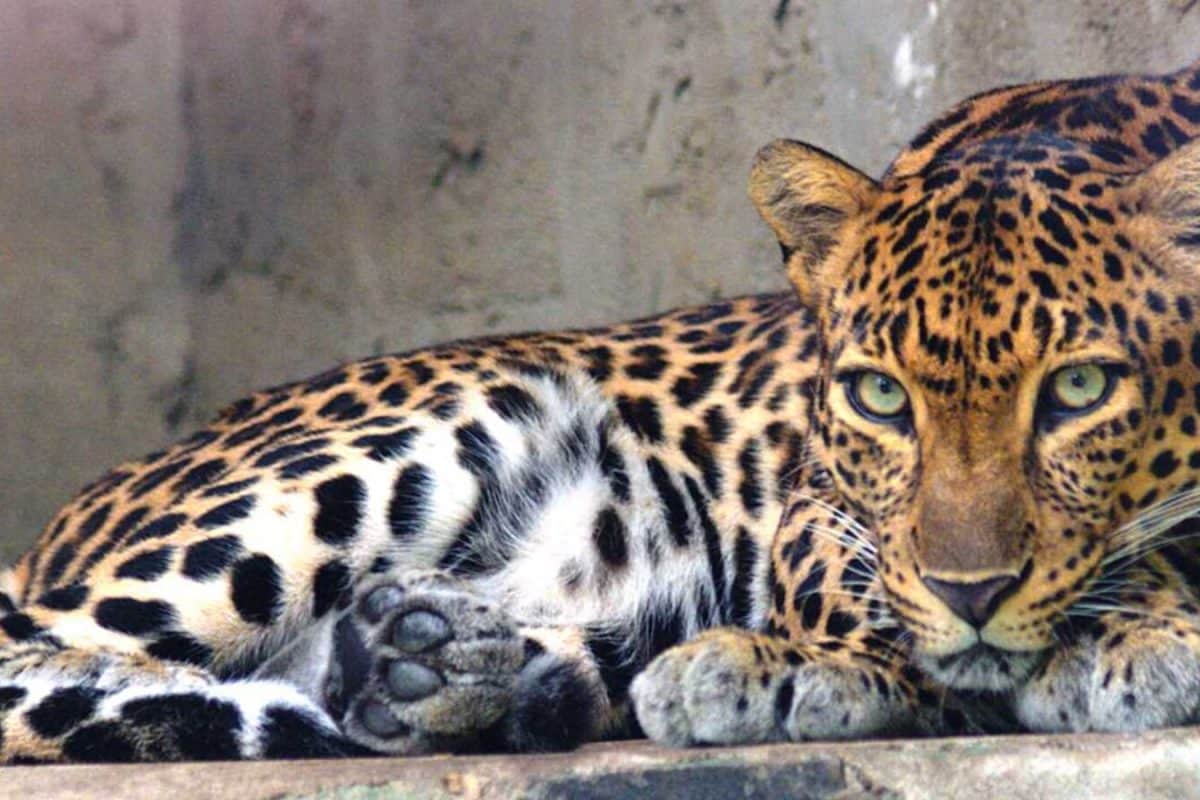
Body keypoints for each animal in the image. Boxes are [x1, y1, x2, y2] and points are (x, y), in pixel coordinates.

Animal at [2, 57, 1200, 763]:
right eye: (879, 397)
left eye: (1079, 387)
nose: (975, 593)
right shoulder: (818, 502)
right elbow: (867, 590)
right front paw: (798, 665)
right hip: (409, 443)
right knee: (41, 655)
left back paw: (450, 666)